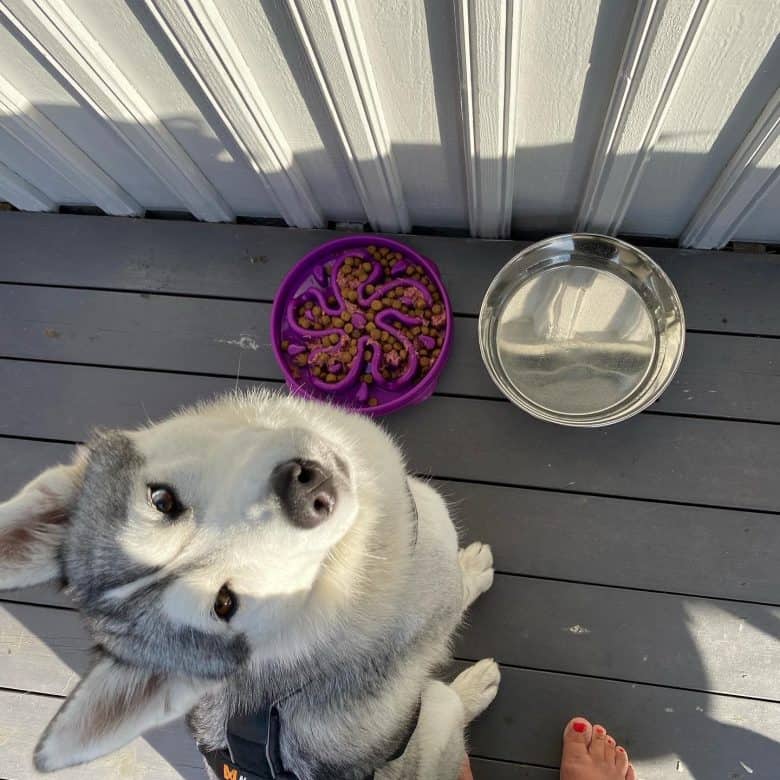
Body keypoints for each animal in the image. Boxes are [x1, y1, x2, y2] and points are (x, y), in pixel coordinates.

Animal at [0, 394, 500, 776]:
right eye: (226, 604)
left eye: (161, 500)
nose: (306, 492)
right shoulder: (441, 597)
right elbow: (460, 587)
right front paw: (474, 568)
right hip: (436, 715)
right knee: (449, 706)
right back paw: (476, 685)